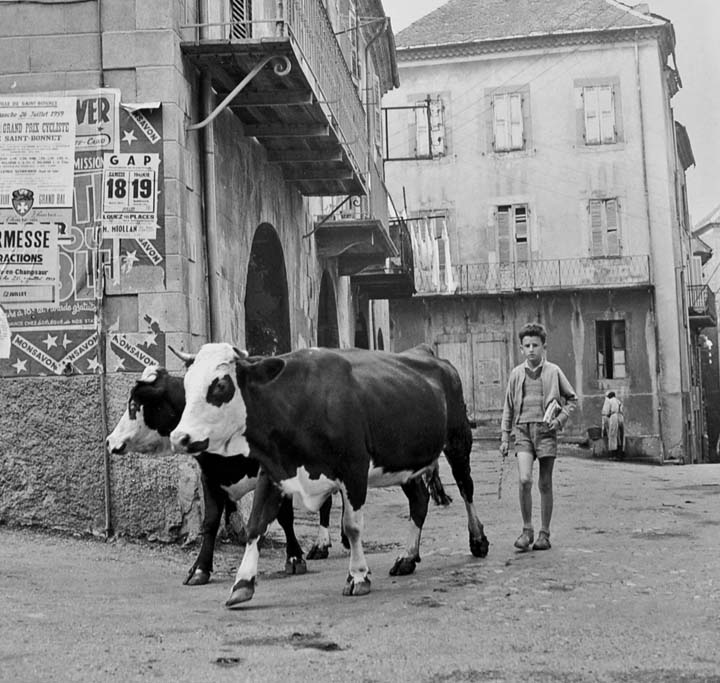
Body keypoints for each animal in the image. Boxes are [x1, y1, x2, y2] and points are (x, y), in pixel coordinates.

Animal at [169, 348, 490, 608]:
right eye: (185, 385)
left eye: (220, 385)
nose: (179, 437)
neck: (301, 402)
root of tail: (430, 354)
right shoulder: (273, 471)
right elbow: (255, 525)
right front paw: (243, 583)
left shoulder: (354, 469)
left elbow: (352, 526)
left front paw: (358, 576)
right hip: (406, 462)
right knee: (420, 502)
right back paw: (408, 557)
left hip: (458, 439)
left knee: (466, 488)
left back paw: (478, 540)